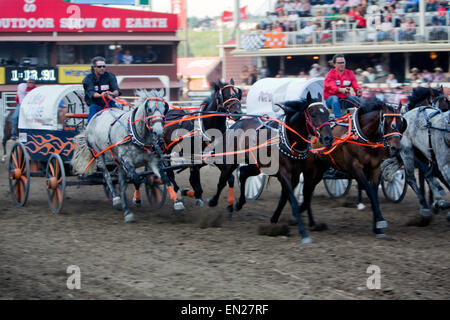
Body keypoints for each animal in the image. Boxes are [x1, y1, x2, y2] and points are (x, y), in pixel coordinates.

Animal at [163, 79, 243, 210]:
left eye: (236, 94)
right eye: (224, 95)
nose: (238, 112)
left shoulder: (214, 156)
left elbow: (229, 178)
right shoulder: (194, 157)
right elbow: (196, 182)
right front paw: (192, 194)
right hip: (165, 150)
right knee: (169, 172)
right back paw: (177, 198)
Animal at [207, 94, 334, 244]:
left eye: (327, 113)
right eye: (313, 114)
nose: (328, 138)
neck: (287, 140)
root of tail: (235, 124)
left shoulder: (295, 175)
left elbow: (286, 198)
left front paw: (275, 218)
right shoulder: (284, 173)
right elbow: (292, 200)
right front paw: (304, 233)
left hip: (256, 165)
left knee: (243, 174)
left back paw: (239, 203)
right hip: (231, 161)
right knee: (223, 180)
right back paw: (213, 201)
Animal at [270, 99, 408, 239]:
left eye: (401, 123)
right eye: (388, 123)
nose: (396, 148)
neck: (361, 135)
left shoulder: (375, 169)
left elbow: (373, 194)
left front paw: (377, 227)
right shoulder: (355, 167)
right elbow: (369, 191)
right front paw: (380, 221)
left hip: (319, 170)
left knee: (307, 192)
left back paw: (307, 219)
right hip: (309, 169)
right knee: (305, 190)